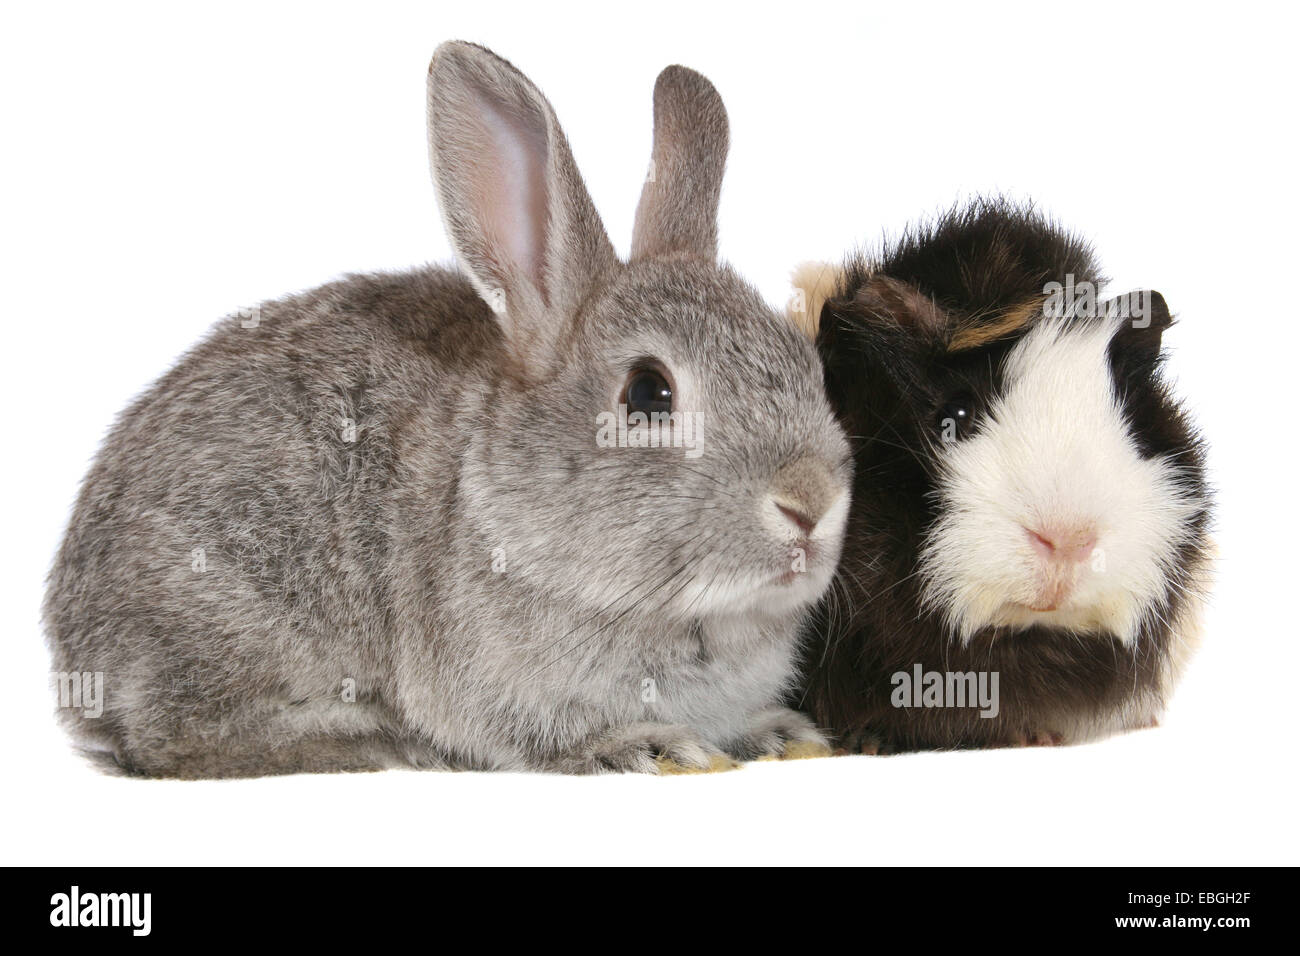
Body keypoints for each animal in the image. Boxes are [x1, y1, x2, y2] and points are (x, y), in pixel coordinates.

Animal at [43, 42, 852, 778]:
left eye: (810, 364)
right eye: (649, 392)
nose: (810, 501)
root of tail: (72, 648)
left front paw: (778, 734)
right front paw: (645, 746)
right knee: (174, 741)